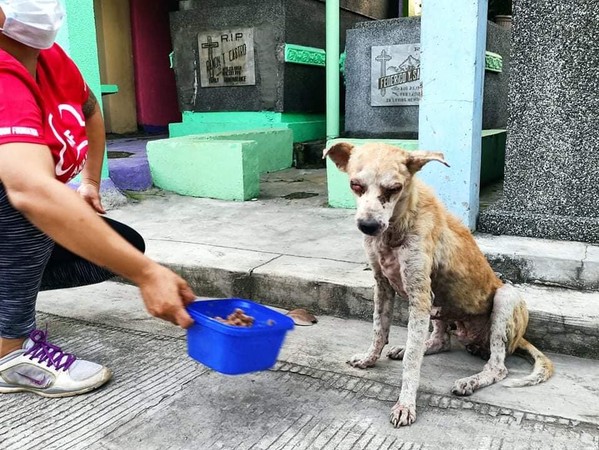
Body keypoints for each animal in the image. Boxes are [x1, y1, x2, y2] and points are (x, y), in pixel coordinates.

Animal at [326, 142, 556, 428]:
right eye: (355, 185)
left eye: (394, 188)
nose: (368, 226)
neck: (397, 226)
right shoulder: (383, 285)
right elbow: (379, 330)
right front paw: (369, 359)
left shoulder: (419, 294)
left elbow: (412, 361)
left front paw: (405, 405)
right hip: (438, 303)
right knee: (441, 341)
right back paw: (417, 347)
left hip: (505, 298)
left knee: (498, 366)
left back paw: (471, 381)